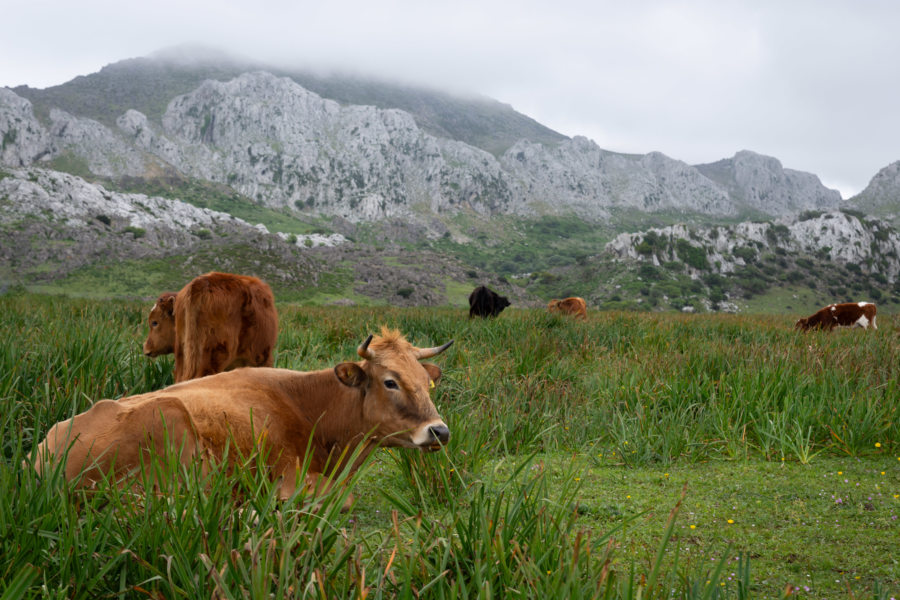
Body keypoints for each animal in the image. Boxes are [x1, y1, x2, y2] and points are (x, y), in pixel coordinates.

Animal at [32, 328, 453, 505]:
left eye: (427, 383)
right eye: (390, 382)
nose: (440, 431)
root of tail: (38, 460)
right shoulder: (289, 474)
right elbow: (341, 498)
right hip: (170, 429)